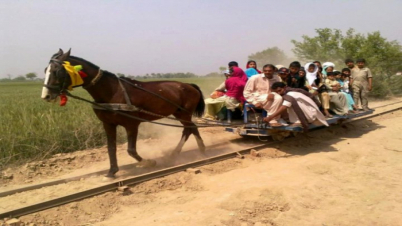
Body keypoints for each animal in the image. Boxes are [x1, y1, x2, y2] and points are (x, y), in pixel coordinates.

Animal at [41, 49, 206, 178]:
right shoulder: (108, 124)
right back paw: (191, 151)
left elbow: (131, 150)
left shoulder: (131, 124)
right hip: (179, 114)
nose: (46, 96)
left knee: (189, 129)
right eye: (45, 70)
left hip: (184, 114)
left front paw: (149, 162)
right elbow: (111, 148)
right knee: (191, 128)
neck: (112, 92)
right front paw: (112, 171)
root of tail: (189, 85)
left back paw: (193, 151)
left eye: (57, 71)